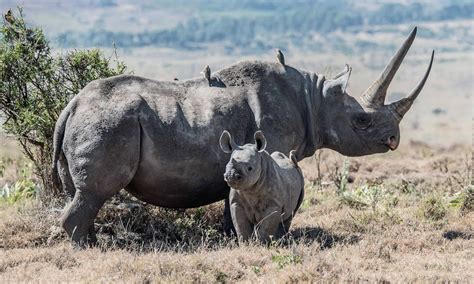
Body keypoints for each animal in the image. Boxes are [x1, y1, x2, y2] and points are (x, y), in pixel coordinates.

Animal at [52, 27, 434, 245]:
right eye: (361, 121)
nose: (394, 140)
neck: (315, 100)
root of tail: (71, 105)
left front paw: (231, 237)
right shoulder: (272, 147)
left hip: (95, 120)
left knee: (84, 195)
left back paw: (95, 243)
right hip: (108, 122)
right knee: (94, 193)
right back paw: (89, 250)